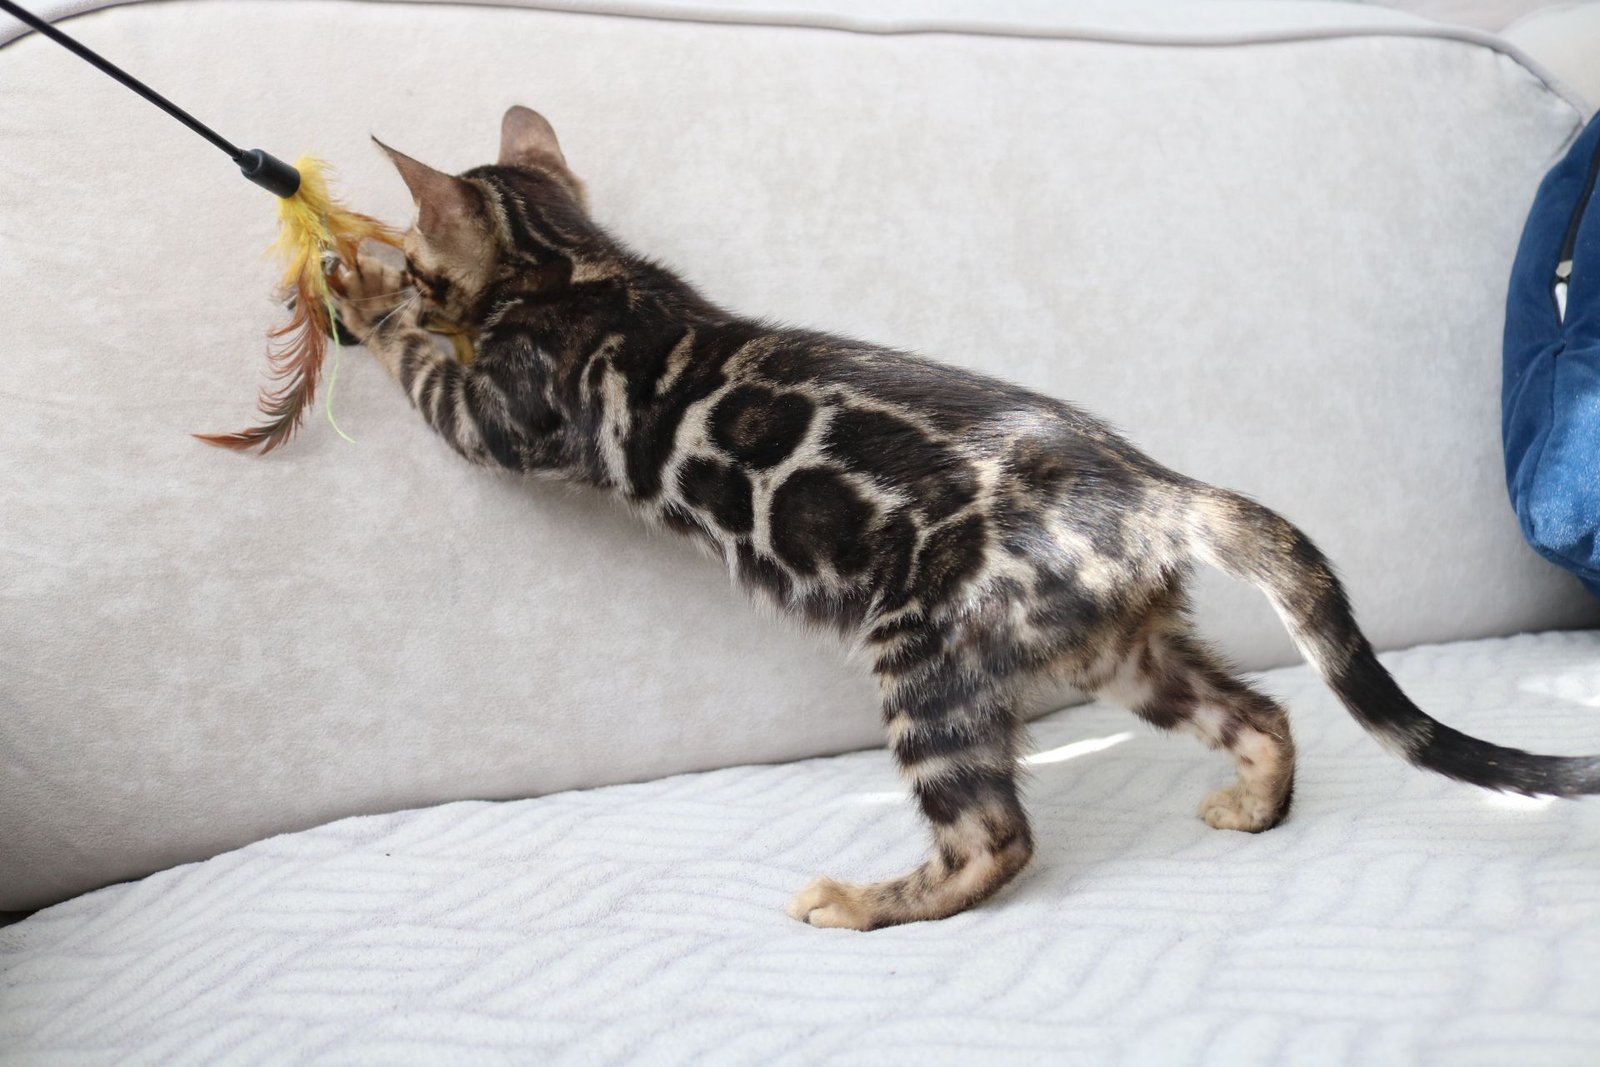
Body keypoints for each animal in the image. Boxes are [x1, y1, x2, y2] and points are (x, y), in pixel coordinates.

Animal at [327, 105, 1600, 931]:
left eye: (425, 266)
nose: (398, 268)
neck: (583, 266)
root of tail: (1151, 485)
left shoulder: (498, 416)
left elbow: (423, 362)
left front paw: (357, 278)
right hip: (1117, 649)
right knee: (1261, 712)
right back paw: (1252, 801)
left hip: (926, 659)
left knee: (998, 840)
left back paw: (863, 901)